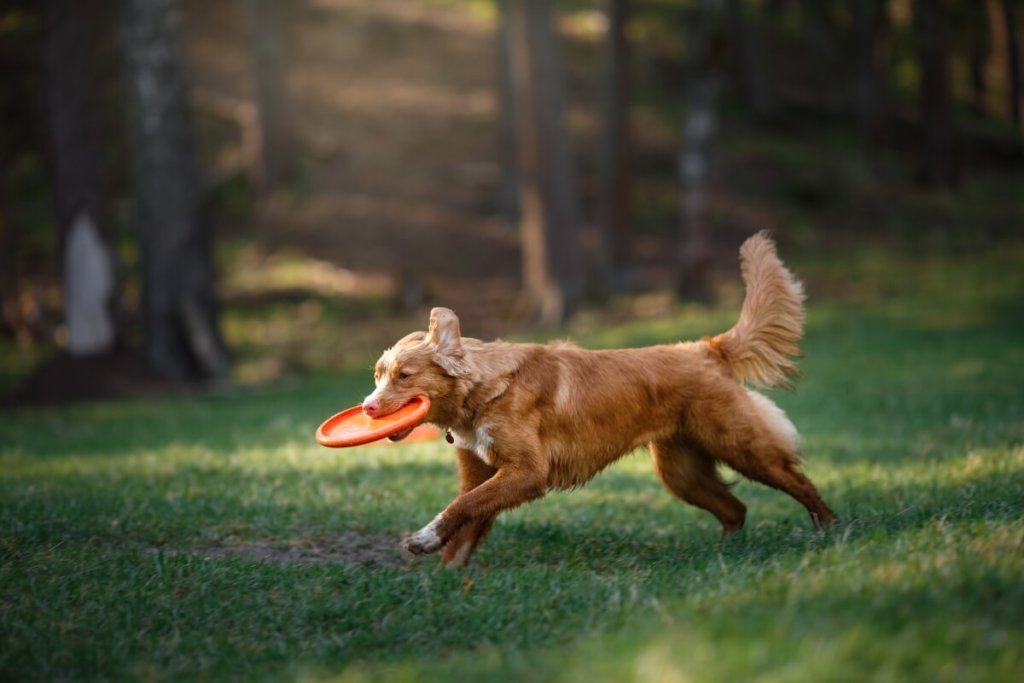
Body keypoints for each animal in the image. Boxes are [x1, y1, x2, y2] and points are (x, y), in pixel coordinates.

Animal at [364, 232, 835, 569]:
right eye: (377, 375)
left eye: (404, 376)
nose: (367, 407)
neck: (484, 389)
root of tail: (706, 348)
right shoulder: (481, 472)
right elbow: (465, 521)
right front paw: (446, 574)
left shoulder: (527, 472)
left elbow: (463, 507)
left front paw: (423, 540)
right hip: (681, 471)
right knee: (735, 509)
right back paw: (725, 557)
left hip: (741, 445)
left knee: (799, 483)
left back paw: (829, 533)